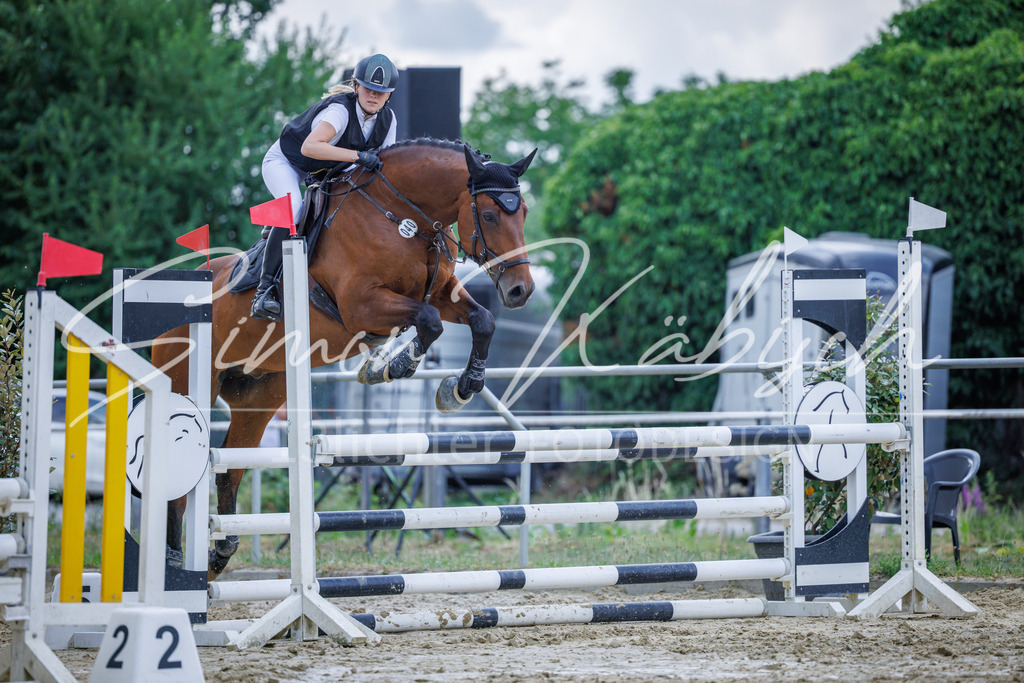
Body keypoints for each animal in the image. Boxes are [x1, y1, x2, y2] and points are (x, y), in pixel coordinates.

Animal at [151, 139, 537, 579]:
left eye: (524, 212)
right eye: (489, 214)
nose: (520, 290)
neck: (402, 216)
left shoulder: (441, 293)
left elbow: (481, 320)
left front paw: (460, 389)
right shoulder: (362, 305)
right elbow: (429, 321)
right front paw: (392, 367)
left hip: (260, 397)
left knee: (231, 469)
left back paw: (221, 553)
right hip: (186, 386)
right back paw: (175, 561)